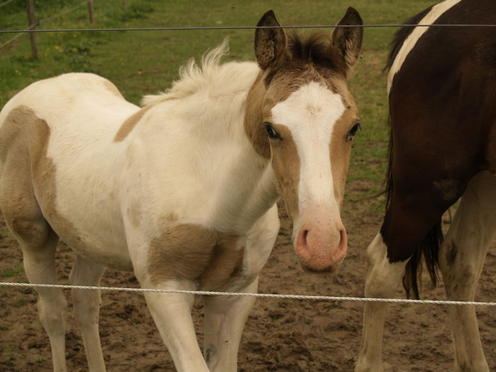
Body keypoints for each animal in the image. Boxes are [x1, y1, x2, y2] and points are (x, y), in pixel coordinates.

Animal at [0, 6, 364, 372]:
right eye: (271, 129)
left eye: (354, 127)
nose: (322, 244)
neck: (208, 188)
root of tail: (26, 94)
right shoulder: (165, 289)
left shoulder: (236, 291)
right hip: (34, 240)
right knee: (53, 312)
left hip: (88, 240)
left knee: (86, 302)